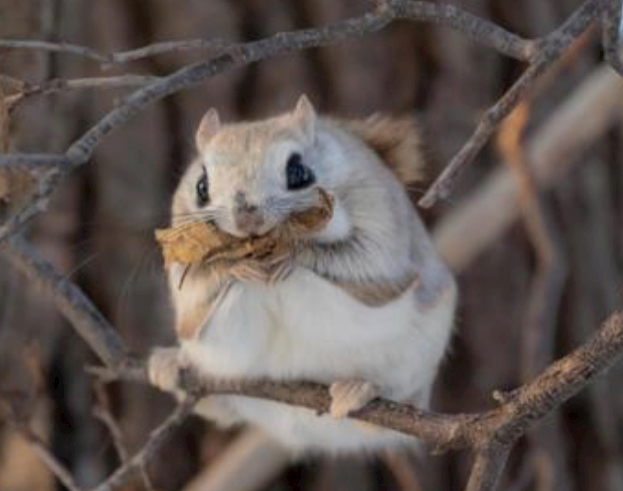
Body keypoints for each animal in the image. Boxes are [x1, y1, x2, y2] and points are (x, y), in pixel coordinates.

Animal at [148, 94, 456, 456]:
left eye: (298, 172)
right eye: (201, 185)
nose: (246, 217)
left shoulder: (379, 215)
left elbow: (367, 257)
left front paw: (293, 255)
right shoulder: (180, 251)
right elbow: (194, 286)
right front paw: (234, 267)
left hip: (414, 363)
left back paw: (358, 390)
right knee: (218, 406)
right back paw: (171, 365)